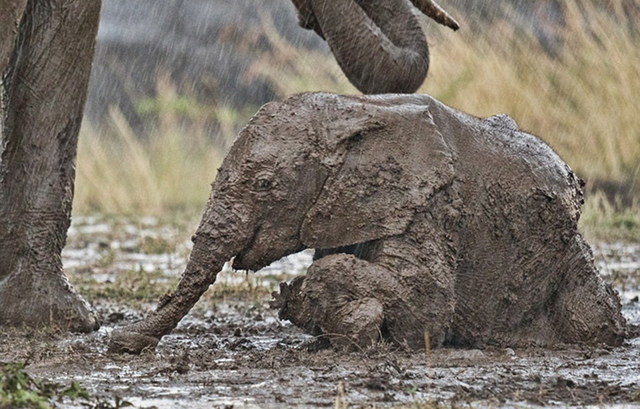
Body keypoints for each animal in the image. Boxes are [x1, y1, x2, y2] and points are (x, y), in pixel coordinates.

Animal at [109, 92, 624, 354]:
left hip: (567, 259)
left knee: (592, 318)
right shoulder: (347, 209)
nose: (120, 341)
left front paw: (304, 300)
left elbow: (427, 310)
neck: (358, 108)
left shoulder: (433, 204)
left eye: (264, 184)